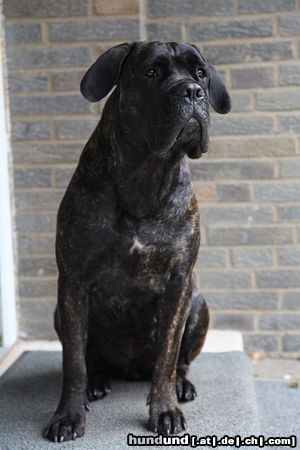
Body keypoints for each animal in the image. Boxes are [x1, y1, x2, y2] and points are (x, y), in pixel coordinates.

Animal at [44, 41, 231, 442]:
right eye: (151, 72)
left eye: (201, 73)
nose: (192, 92)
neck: (146, 176)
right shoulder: (73, 283)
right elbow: (73, 362)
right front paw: (67, 416)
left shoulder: (179, 284)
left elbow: (167, 356)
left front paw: (165, 410)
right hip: (59, 312)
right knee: (88, 358)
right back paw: (97, 381)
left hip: (199, 304)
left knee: (178, 362)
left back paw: (182, 385)